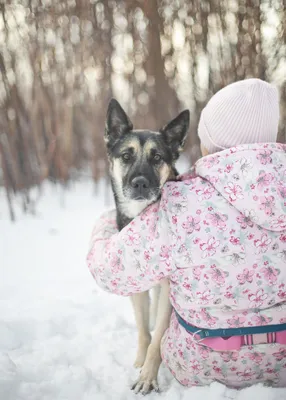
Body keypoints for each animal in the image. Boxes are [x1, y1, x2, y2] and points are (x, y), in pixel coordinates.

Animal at [105, 99, 190, 394]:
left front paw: (148, 377)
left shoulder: (168, 291)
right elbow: (143, 330)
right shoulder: (136, 284)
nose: (140, 183)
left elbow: (157, 339)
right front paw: (139, 363)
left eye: (157, 158)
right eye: (126, 156)